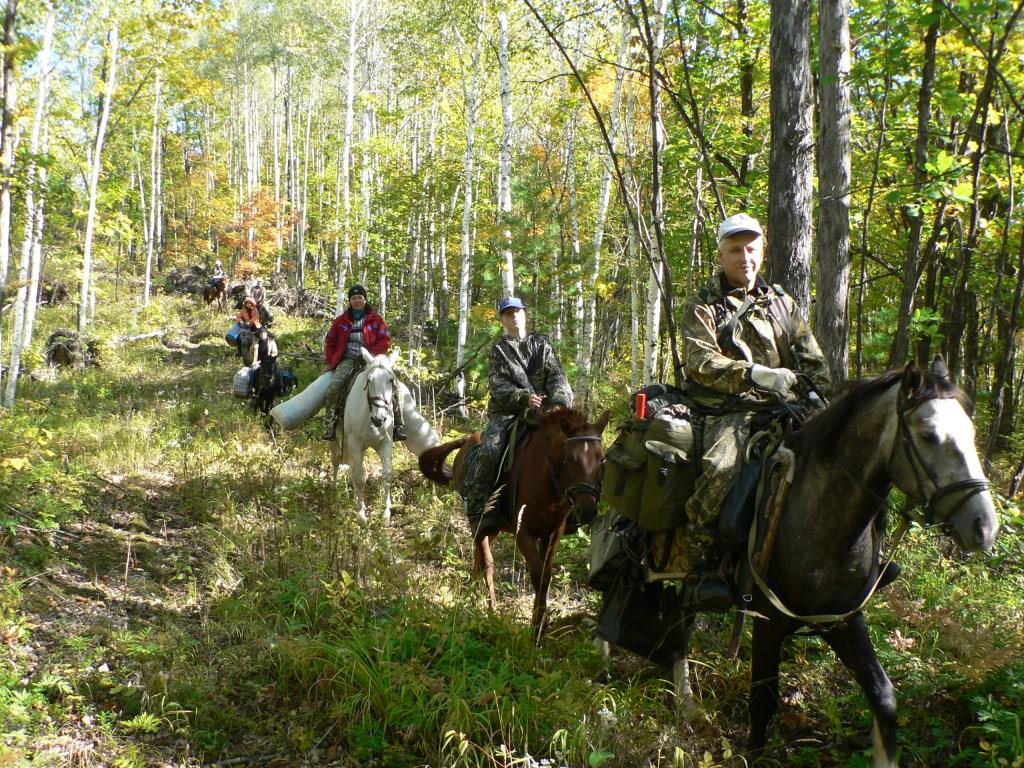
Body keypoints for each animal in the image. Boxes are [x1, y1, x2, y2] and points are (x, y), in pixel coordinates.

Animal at [331, 348, 440, 523]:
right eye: (369, 380)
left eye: (390, 381)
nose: (379, 418)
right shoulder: (354, 442)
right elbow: (360, 477)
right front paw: (361, 515)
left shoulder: (385, 443)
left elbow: (387, 474)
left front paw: (386, 514)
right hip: (337, 441)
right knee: (336, 461)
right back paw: (335, 491)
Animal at [418, 407, 609, 641]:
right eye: (570, 459)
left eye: (601, 459)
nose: (588, 510)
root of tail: (467, 440)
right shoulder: (523, 532)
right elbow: (538, 575)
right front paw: (535, 632)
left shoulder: (553, 533)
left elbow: (545, 573)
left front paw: (541, 625)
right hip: (478, 523)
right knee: (487, 564)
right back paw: (491, 609)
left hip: (493, 529)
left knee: (478, 561)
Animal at [659, 360, 998, 766]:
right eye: (930, 436)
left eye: (972, 432)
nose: (985, 527)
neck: (824, 519)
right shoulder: (766, 622)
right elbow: (762, 702)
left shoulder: (844, 621)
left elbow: (884, 698)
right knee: (680, 616)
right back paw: (686, 701)